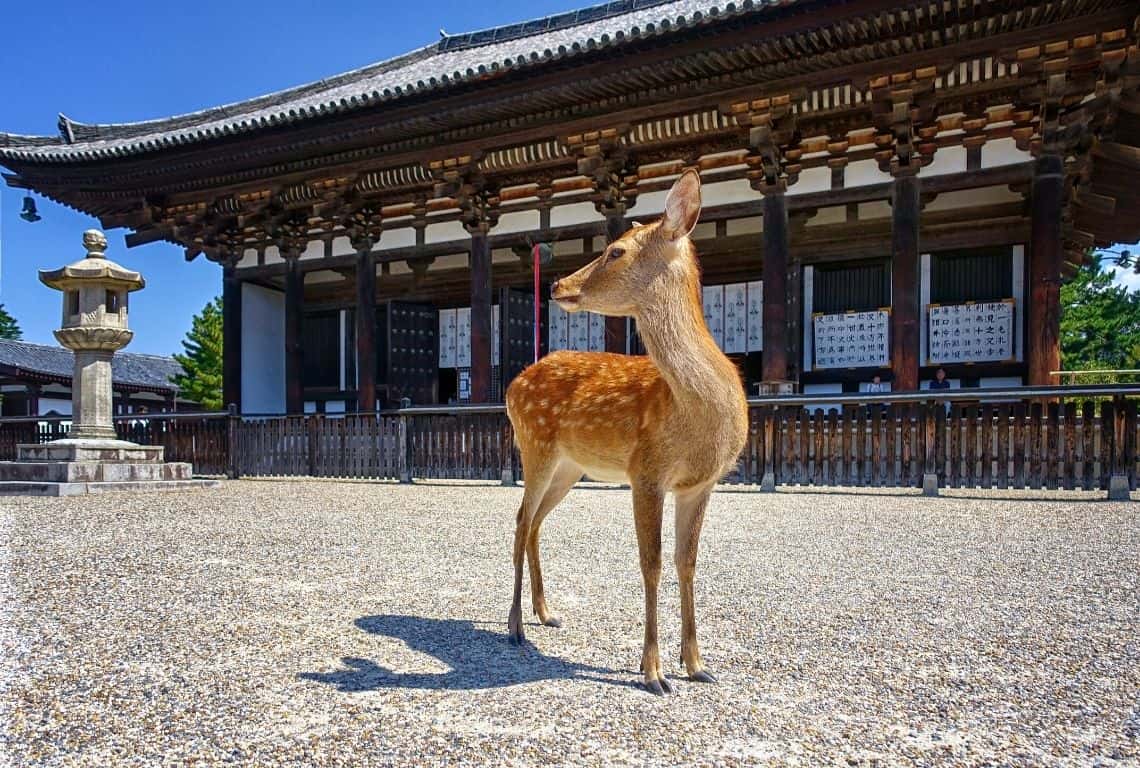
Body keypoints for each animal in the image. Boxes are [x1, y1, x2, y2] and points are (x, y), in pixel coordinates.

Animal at [506, 168, 752, 692]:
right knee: (519, 519)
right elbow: (651, 563)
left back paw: (546, 613)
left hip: (570, 466)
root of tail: (515, 382)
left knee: (535, 521)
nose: (556, 284)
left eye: (616, 251)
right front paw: (654, 672)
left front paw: (697, 665)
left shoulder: (701, 483)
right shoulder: (646, 470)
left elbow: (687, 562)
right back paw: (515, 626)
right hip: (533, 445)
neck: (697, 416)